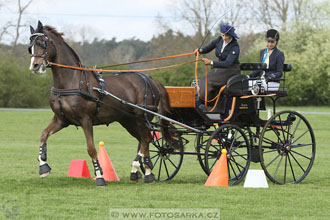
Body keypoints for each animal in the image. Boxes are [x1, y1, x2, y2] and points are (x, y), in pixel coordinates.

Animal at [28, 20, 180, 186]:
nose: (34, 66)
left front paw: (100, 176)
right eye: (30, 46)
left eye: (42, 43)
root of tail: (150, 79)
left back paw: (143, 170)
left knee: (146, 139)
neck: (71, 82)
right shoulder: (61, 120)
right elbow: (43, 135)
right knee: (144, 140)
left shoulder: (86, 120)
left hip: (142, 118)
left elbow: (91, 148)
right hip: (129, 121)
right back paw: (143, 172)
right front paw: (43, 167)